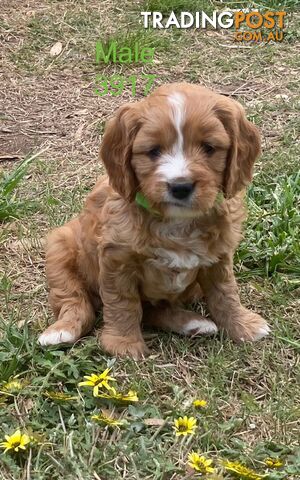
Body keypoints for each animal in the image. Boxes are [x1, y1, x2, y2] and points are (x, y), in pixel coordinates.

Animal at [38, 82, 270, 358]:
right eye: (153, 151)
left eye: (209, 148)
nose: (180, 187)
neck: (176, 223)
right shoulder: (116, 260)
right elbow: (122, 303)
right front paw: (124, 345)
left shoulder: (219, 256)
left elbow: (225, 292)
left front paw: (242, 325)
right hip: (60, 249)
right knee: (74, 298)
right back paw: (61, 331)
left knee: (154, 310)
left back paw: (193, 323)